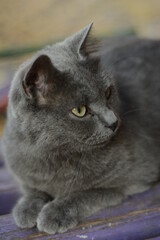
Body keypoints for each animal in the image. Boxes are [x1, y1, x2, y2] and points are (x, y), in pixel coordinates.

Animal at [1, 23, 160, 233]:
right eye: (80, 110)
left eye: (107, 92)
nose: (113, 122)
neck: (53, 156)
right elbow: (32, 188)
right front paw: (26, 208)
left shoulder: (136, 175)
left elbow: (88, 192)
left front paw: (55, 213)